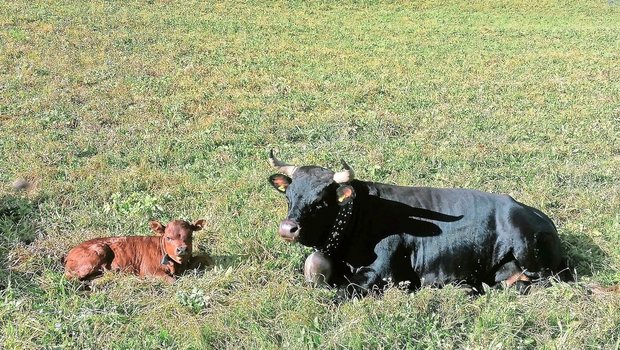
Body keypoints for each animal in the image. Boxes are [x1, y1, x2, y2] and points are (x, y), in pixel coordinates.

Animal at [63, 220, 213, 284]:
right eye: (168, 237)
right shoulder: (148, 270)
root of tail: (69, 254)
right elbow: (172, 281)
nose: (182, 249)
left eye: (190, 236)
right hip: (98, 252)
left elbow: (205, 257)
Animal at [268, 151, 580, 298]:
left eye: (321, 202)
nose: (287, 229)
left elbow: (343, 292)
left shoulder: (380, 274)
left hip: (533, 258)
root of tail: (541, 218)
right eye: (289, 196)